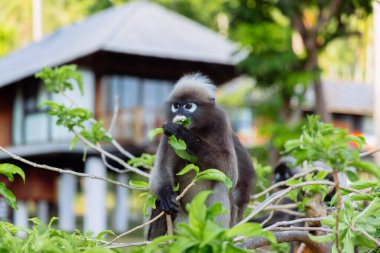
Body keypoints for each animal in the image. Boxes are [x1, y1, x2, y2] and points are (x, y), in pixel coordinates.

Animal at [148, 73, 255, 239]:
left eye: (188, 106)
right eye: (176, 106)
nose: (180, 113)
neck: (197, 128)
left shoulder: (221, 123)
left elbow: (230, 169)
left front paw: (184, 134)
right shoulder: (166, 132)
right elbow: (160, 170)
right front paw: (166, 195)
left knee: (222, 181)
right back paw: (157, 228)